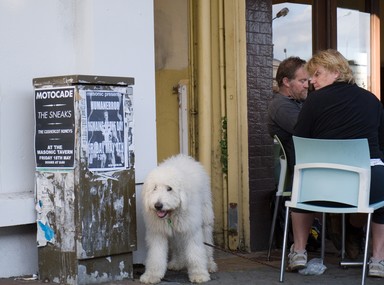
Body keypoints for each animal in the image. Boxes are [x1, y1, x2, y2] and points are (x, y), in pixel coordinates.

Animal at [140, 154, 218, 282]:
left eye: (169, 188)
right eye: (155, 188)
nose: (158, 205)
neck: (172, 213)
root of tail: (184, 157)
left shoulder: (191, 229)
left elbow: (195, 253)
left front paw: (199, 274)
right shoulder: (158, 232)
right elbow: (156, 256)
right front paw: (151, 275)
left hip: (206, 217)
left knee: (207, 241)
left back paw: (210, 264)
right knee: (177, 244)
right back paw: (178, 263)